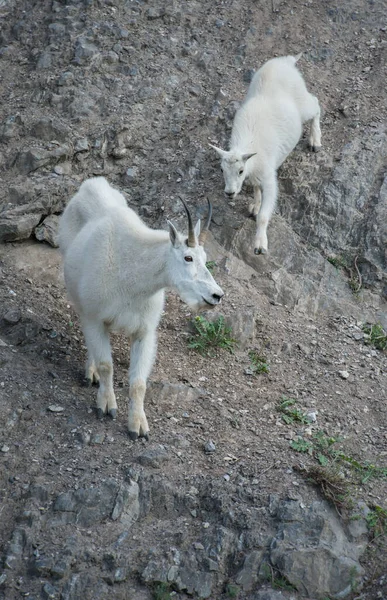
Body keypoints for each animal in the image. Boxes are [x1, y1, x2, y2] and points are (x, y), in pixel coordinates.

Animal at [59, 178, 226, 440]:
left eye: (204, 257)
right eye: (188, 257)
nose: (216, 295)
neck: (133, 276)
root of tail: (92, 183)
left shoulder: (144, 331)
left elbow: (139, 382)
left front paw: (137, 426)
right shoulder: (95, 318)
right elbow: (107, 365)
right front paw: (106, 405)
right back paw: (90, 372)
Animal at [211, 52, 322, 255]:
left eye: (240, 170)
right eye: (222, 170)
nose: (229, 193)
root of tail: (287, 61)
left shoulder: (269, 179)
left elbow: (264, 215)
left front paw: (260, 245)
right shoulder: (256, 176)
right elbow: (256, 190)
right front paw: (254, 206)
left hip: (303, 102)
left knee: (315, 104)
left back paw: (315, 140)